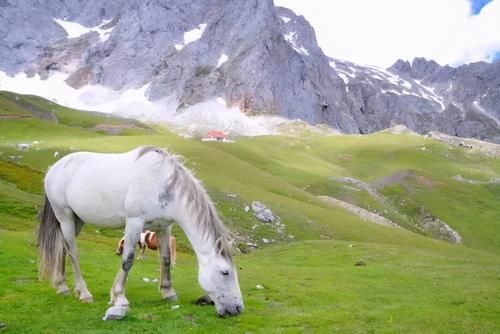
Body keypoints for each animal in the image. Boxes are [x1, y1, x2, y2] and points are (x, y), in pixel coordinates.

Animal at [38, 147, 243, 318]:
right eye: (225, 272)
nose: (238, 308)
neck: (162, 183)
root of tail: (53, 169)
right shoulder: (135, 223)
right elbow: (127, 260)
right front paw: (120, 298)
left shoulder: (164, 227)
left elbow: (165, 259)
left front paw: (168, 292)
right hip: (64, 217)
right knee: (72, 252)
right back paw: (84, 293)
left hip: (76, 220)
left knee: (61, 248)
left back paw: (62, 286)